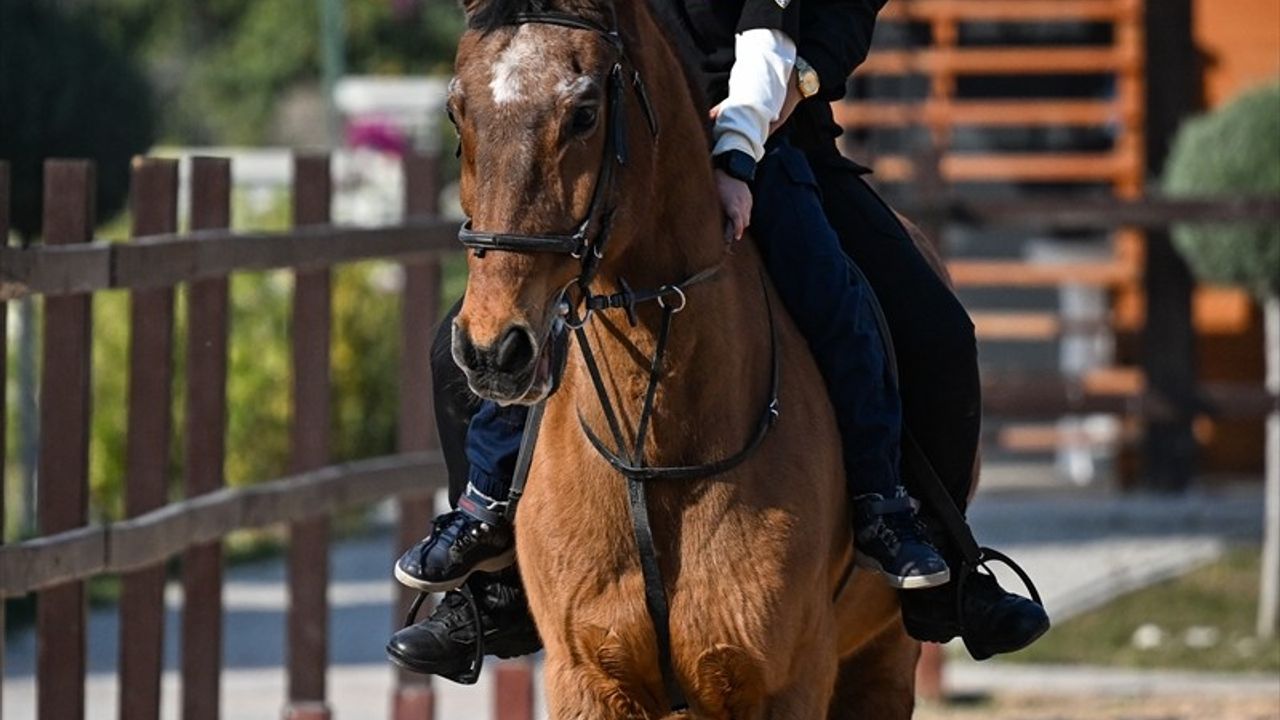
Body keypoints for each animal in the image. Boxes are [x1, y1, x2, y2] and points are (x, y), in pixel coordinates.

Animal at [448, 0, 921, 712]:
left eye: (585, 113)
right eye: (458, 110)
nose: (493, 351)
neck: (656, 447)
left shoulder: (788, 682)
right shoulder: (586, 679)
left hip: (884, 661)